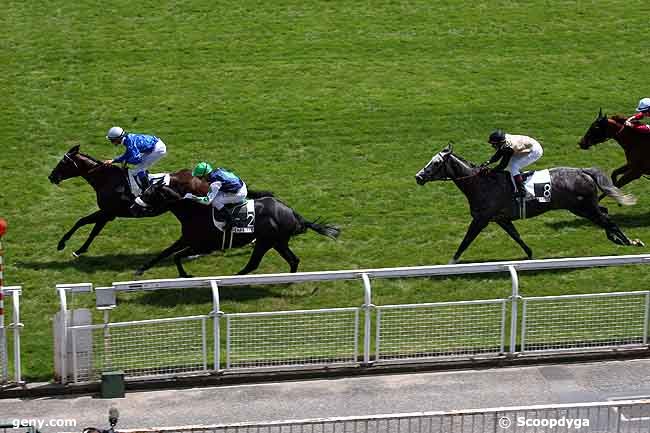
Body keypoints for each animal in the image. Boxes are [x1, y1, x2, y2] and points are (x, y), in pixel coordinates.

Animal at [127, 170, 340, 276]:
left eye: (149, 194)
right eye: (145, 191)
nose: (133, 206)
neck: (195, 212)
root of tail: (292, 213)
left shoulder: (204, 246)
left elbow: (177, 256)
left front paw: (186, 276)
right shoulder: (187, 239)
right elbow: (166, 253)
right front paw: (140, 269)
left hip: (266, 241)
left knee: (253, 264)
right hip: (278, 242)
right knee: (293, 260)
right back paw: (289, 280)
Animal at [412, 144, 640, 264]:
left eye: (436, 163)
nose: (418, 177)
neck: (481, 184)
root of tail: (583, 171)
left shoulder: (481, 219)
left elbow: (466, 240)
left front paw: (452, 262)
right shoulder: (501, 219)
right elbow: (517, 236)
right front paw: (530, 254)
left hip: (583, 208)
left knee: (606, 219)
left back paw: (629, 241)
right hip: (585, 207)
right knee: (605, 213)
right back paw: (618, 239)